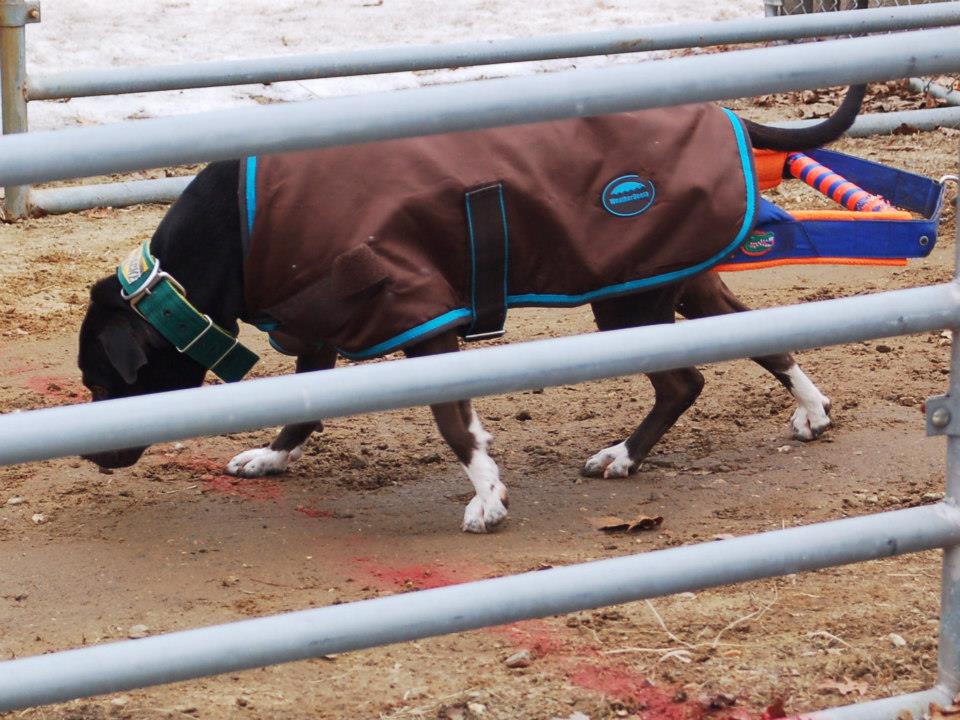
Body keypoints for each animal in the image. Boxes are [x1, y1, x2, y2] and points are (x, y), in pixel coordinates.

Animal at [79, 87, 868, 532]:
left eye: (97, 379)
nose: (87, 452)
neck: (229, 235)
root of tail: (728, 114)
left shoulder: (420, 316)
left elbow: (454, 424)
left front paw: (488, 497)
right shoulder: (324, 324)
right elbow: (305, 406)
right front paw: (272, 456)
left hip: (631, 301)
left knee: (684, 381)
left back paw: (623, 455)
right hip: (671, 278)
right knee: (762, 341)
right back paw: (811, 407)